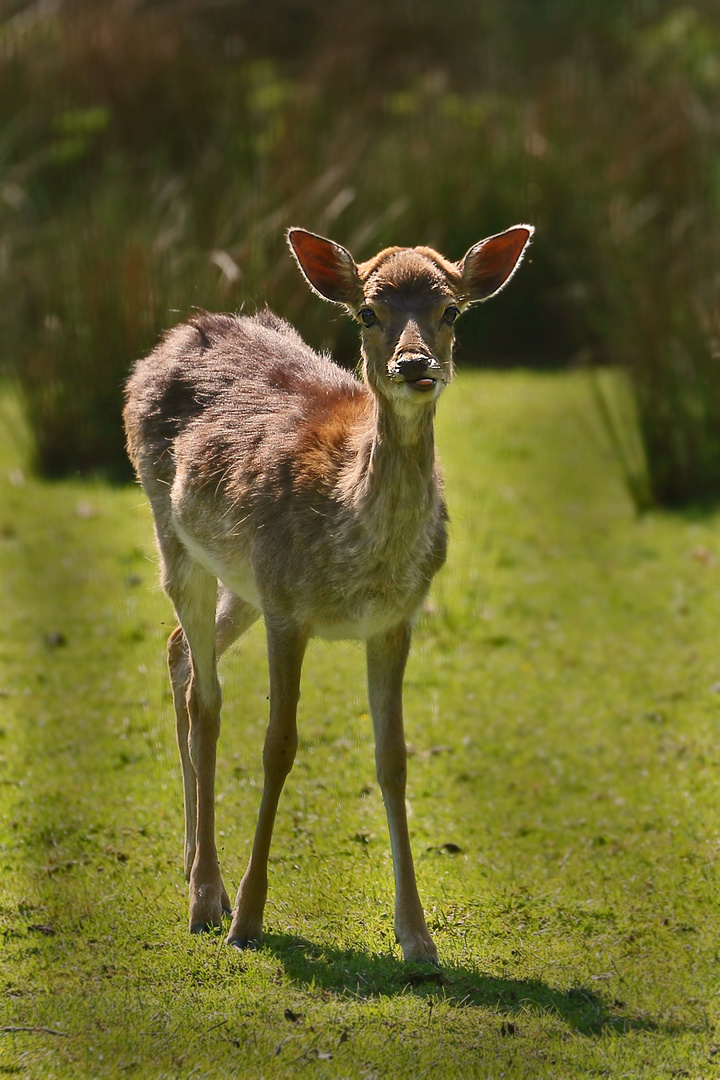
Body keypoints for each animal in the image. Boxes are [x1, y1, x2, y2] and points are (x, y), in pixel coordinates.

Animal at [122, 223, 528, 967]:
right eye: (367, 311)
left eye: (451, 310)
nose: (414, 363)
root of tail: (173, 336)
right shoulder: (289, 609)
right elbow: (278, 745)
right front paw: (248, 919)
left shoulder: (395, 619)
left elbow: (393, 759)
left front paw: (418, 941)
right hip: (175, 536)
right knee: (206, 696)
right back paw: (206, 897)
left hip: (242, 576)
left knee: (179, 653)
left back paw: (194, 869)